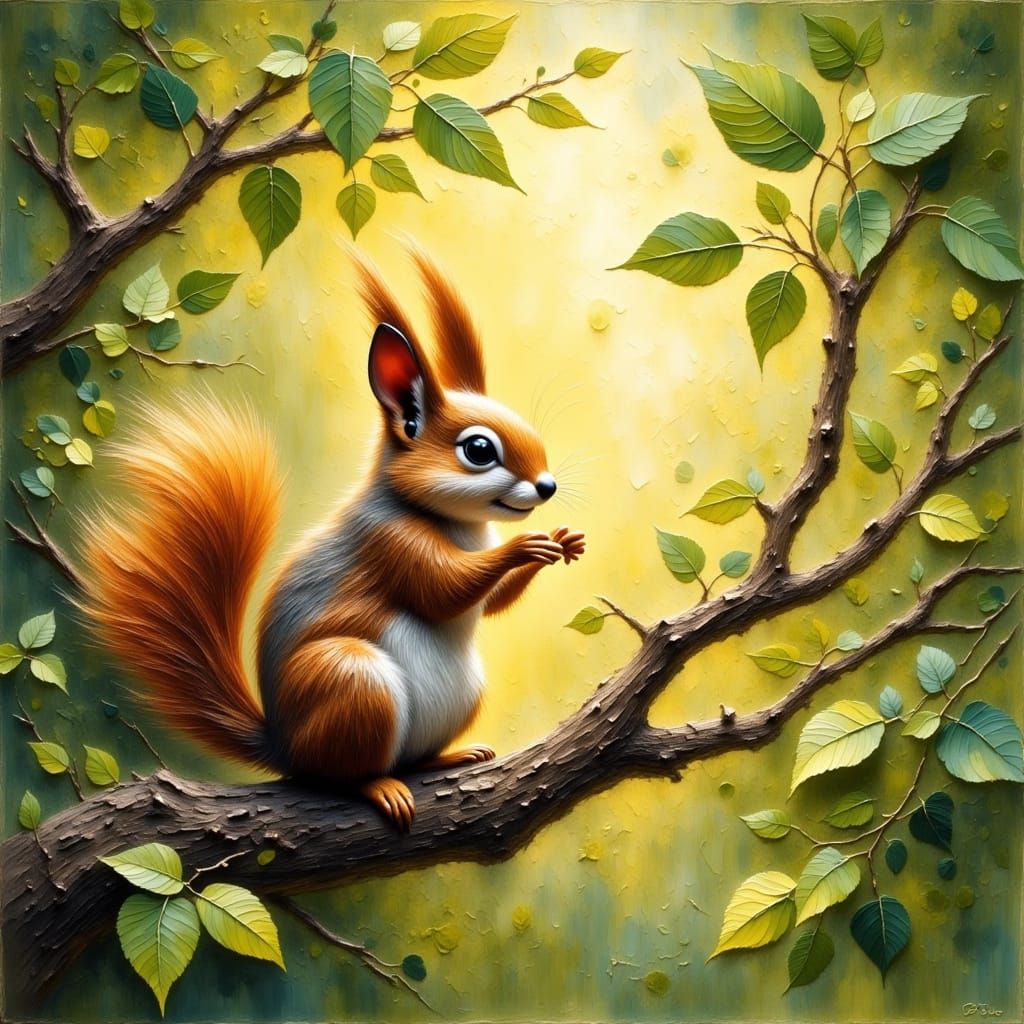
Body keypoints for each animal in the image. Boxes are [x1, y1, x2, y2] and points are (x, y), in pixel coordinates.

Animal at [78, 248, 585, 831]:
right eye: (479, 450)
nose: (547, 487)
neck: (455, 522)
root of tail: (284, 748)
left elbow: (493, 602)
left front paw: (560, 543)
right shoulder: (387, 541)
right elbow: (443, 589)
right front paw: (524, 548)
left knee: (408, 759)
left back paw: (446, 758)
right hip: (350, 682)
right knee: (338, 776)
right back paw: (376, 786)